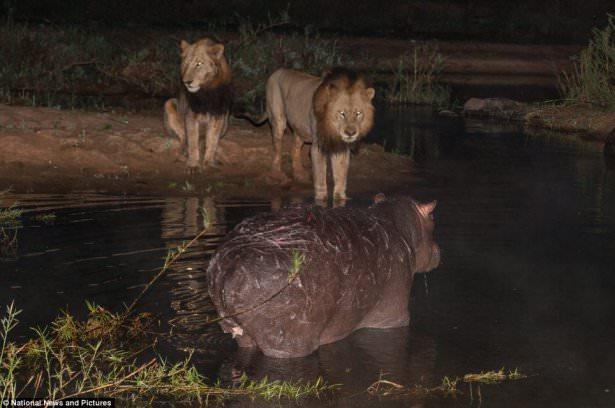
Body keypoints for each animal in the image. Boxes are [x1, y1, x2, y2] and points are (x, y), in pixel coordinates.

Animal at [162, 37, 232, 173]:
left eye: (199, 64)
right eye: (186, 63)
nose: (187, 82)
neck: (206, 90)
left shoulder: (219, 114)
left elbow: (212, 140)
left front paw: (209, 162)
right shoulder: (190, 114)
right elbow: (193, 141)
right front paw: (193, 165)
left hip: (226, 119)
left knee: (205, 140)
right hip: (169, 103)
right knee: (184, 138)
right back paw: (184, 153)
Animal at [245, 67, 376, 203]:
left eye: (358, 113)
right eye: (342, 113)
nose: (350, 133)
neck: (333, 129)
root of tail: (277, 71)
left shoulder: (341, 147)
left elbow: (341, 175)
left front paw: (340, 199)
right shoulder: (317, 147)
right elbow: (320, 175)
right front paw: (321, 199)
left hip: (300, 128)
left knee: (294, 149)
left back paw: (299, 174)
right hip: (278, 120)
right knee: (277, 147)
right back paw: (277, 174)